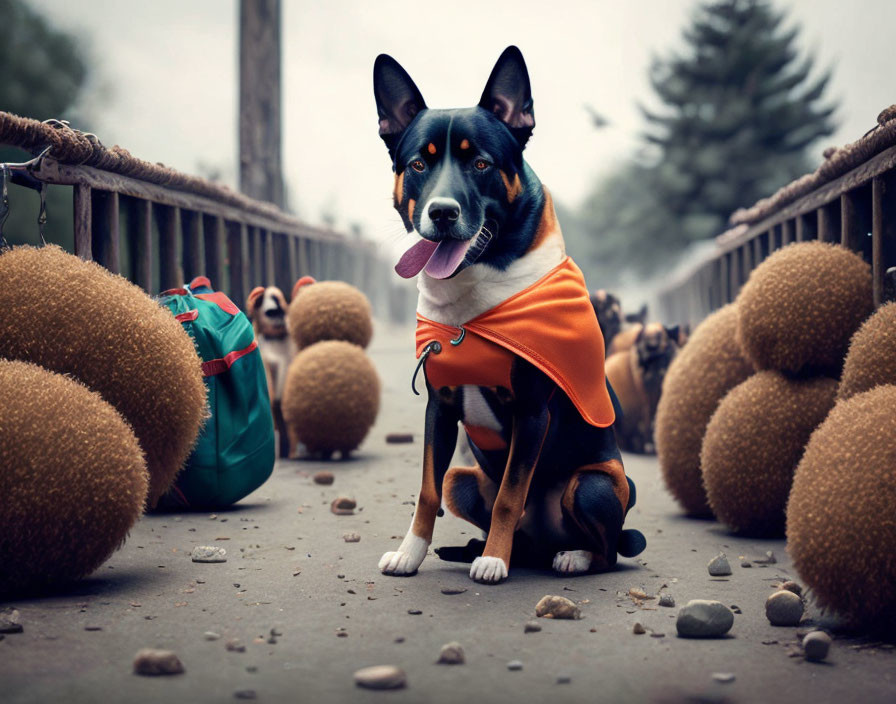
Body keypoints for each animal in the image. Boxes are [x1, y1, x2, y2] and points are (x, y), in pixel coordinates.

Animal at [374, 45, 648, 584]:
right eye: (418, 164)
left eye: (481, 162)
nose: (442, 212)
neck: (471, 313)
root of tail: (542, 545)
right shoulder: (440, 407)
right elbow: (427, 491)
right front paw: (410, 553)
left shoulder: (532, 411)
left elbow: (510, 495)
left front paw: (494, 562)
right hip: (464, 478)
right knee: (473, 500)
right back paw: (482, 549)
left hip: (598, 484)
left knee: (608, 549)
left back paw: (566, 556)